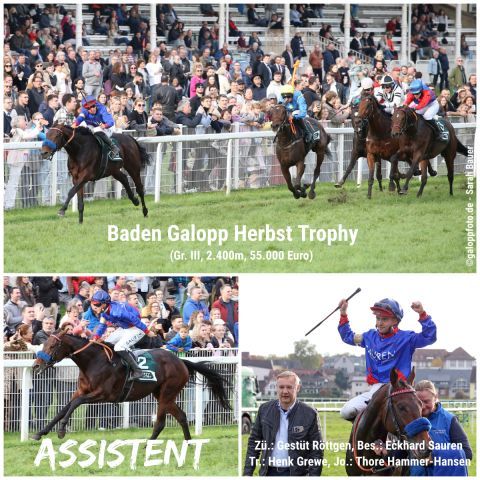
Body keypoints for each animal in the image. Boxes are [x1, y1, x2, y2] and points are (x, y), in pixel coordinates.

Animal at [31, 332, 231, 440]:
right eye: (44, 343)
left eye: (53, 345)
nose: (36, 366)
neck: (93, 361)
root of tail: (181, 361)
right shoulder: (80, 391)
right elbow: (63, 409)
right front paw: (40, 432)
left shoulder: (103, 394)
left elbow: (74, 404)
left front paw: (61, 430)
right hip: (162, 394)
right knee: (181, 416)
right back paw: (188, 442)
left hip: (167, 393)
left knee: (160, 422)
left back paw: (148, 444)